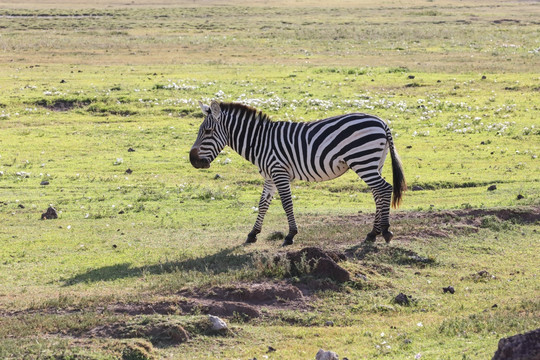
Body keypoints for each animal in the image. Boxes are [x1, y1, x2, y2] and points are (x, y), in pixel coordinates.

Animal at [190, 101, 404, 248]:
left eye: (208, 131)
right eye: (202, 131)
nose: (193, 161)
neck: (260, 141)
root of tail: (382, 122)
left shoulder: (279, 172)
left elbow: (286, 203)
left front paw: (290, 235)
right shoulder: (270, 176)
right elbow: (263, 204)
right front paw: (253, 234)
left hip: (363, 160)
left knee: (385, 189)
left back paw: (385, 231)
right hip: (374, 162)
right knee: (377, 193)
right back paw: (372, 233)